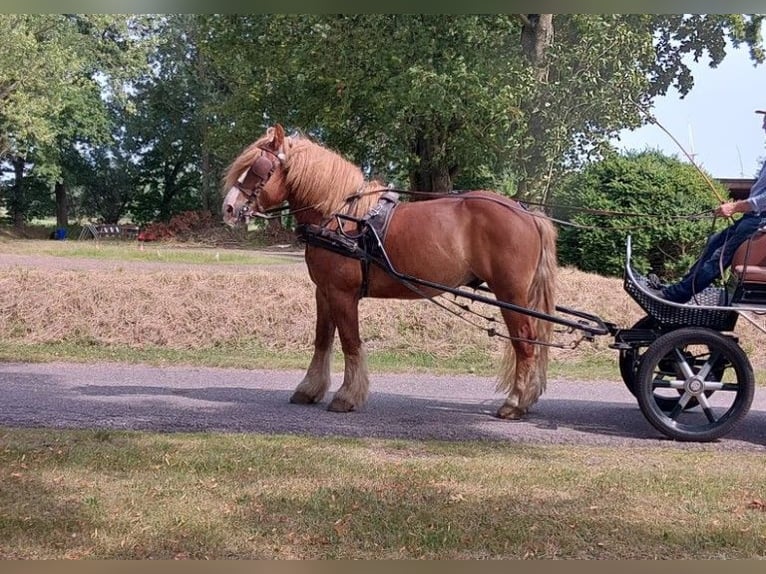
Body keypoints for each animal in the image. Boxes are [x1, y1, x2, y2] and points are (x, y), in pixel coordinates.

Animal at [222, 124, 557, 420]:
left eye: (259, 169)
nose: (228, 208)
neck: (340, 217)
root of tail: (526, 212)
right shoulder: (324, 291)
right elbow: (322, 340)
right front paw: (310, 388)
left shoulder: (343, 294)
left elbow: (350, 342)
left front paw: (347, 396)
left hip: (510, 294)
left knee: (525, 342)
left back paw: (515, 403)